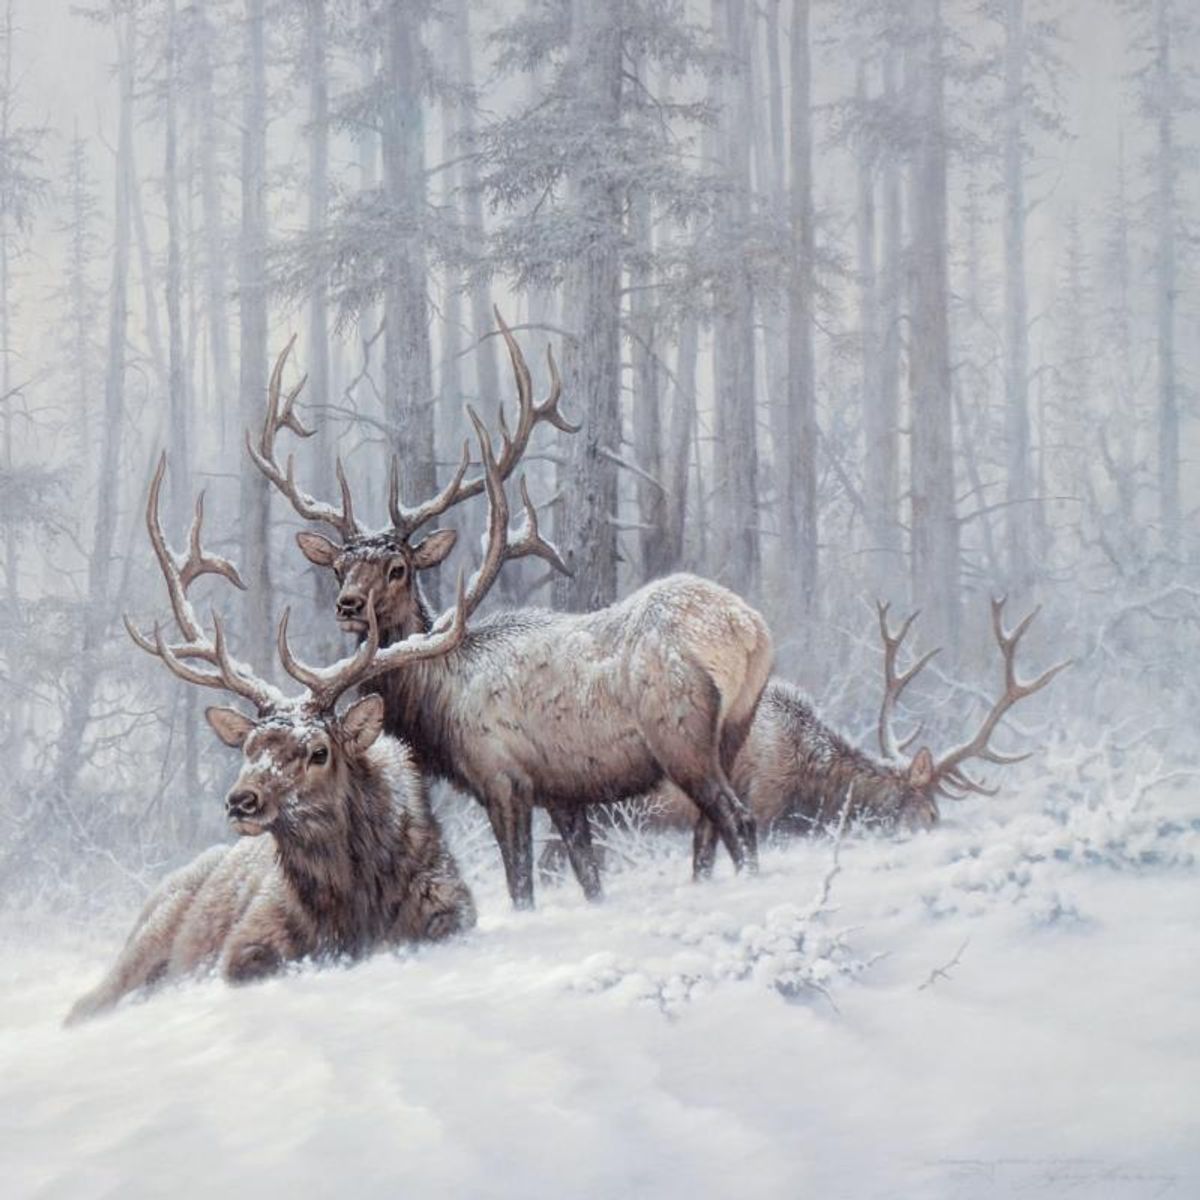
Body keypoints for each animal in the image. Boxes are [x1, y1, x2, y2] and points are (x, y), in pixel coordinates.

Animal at [66, 457, 476, 1025]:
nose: (242, 801)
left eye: (319, 752)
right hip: (143, 939)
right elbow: (255, 965)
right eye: (248, 750)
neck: (354, 909)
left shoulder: (452, 908)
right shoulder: (246, 940)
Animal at [248, 314, 773, 908]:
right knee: (712, 830)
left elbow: (519, 882)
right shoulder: (562, 791)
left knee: (738, 819)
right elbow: (588, 876)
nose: (348, 604)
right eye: (340, 567)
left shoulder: (502, 776)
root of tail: (747, 631)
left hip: (680, 733)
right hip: (735, 728)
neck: (439, 700)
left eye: (397, 567)